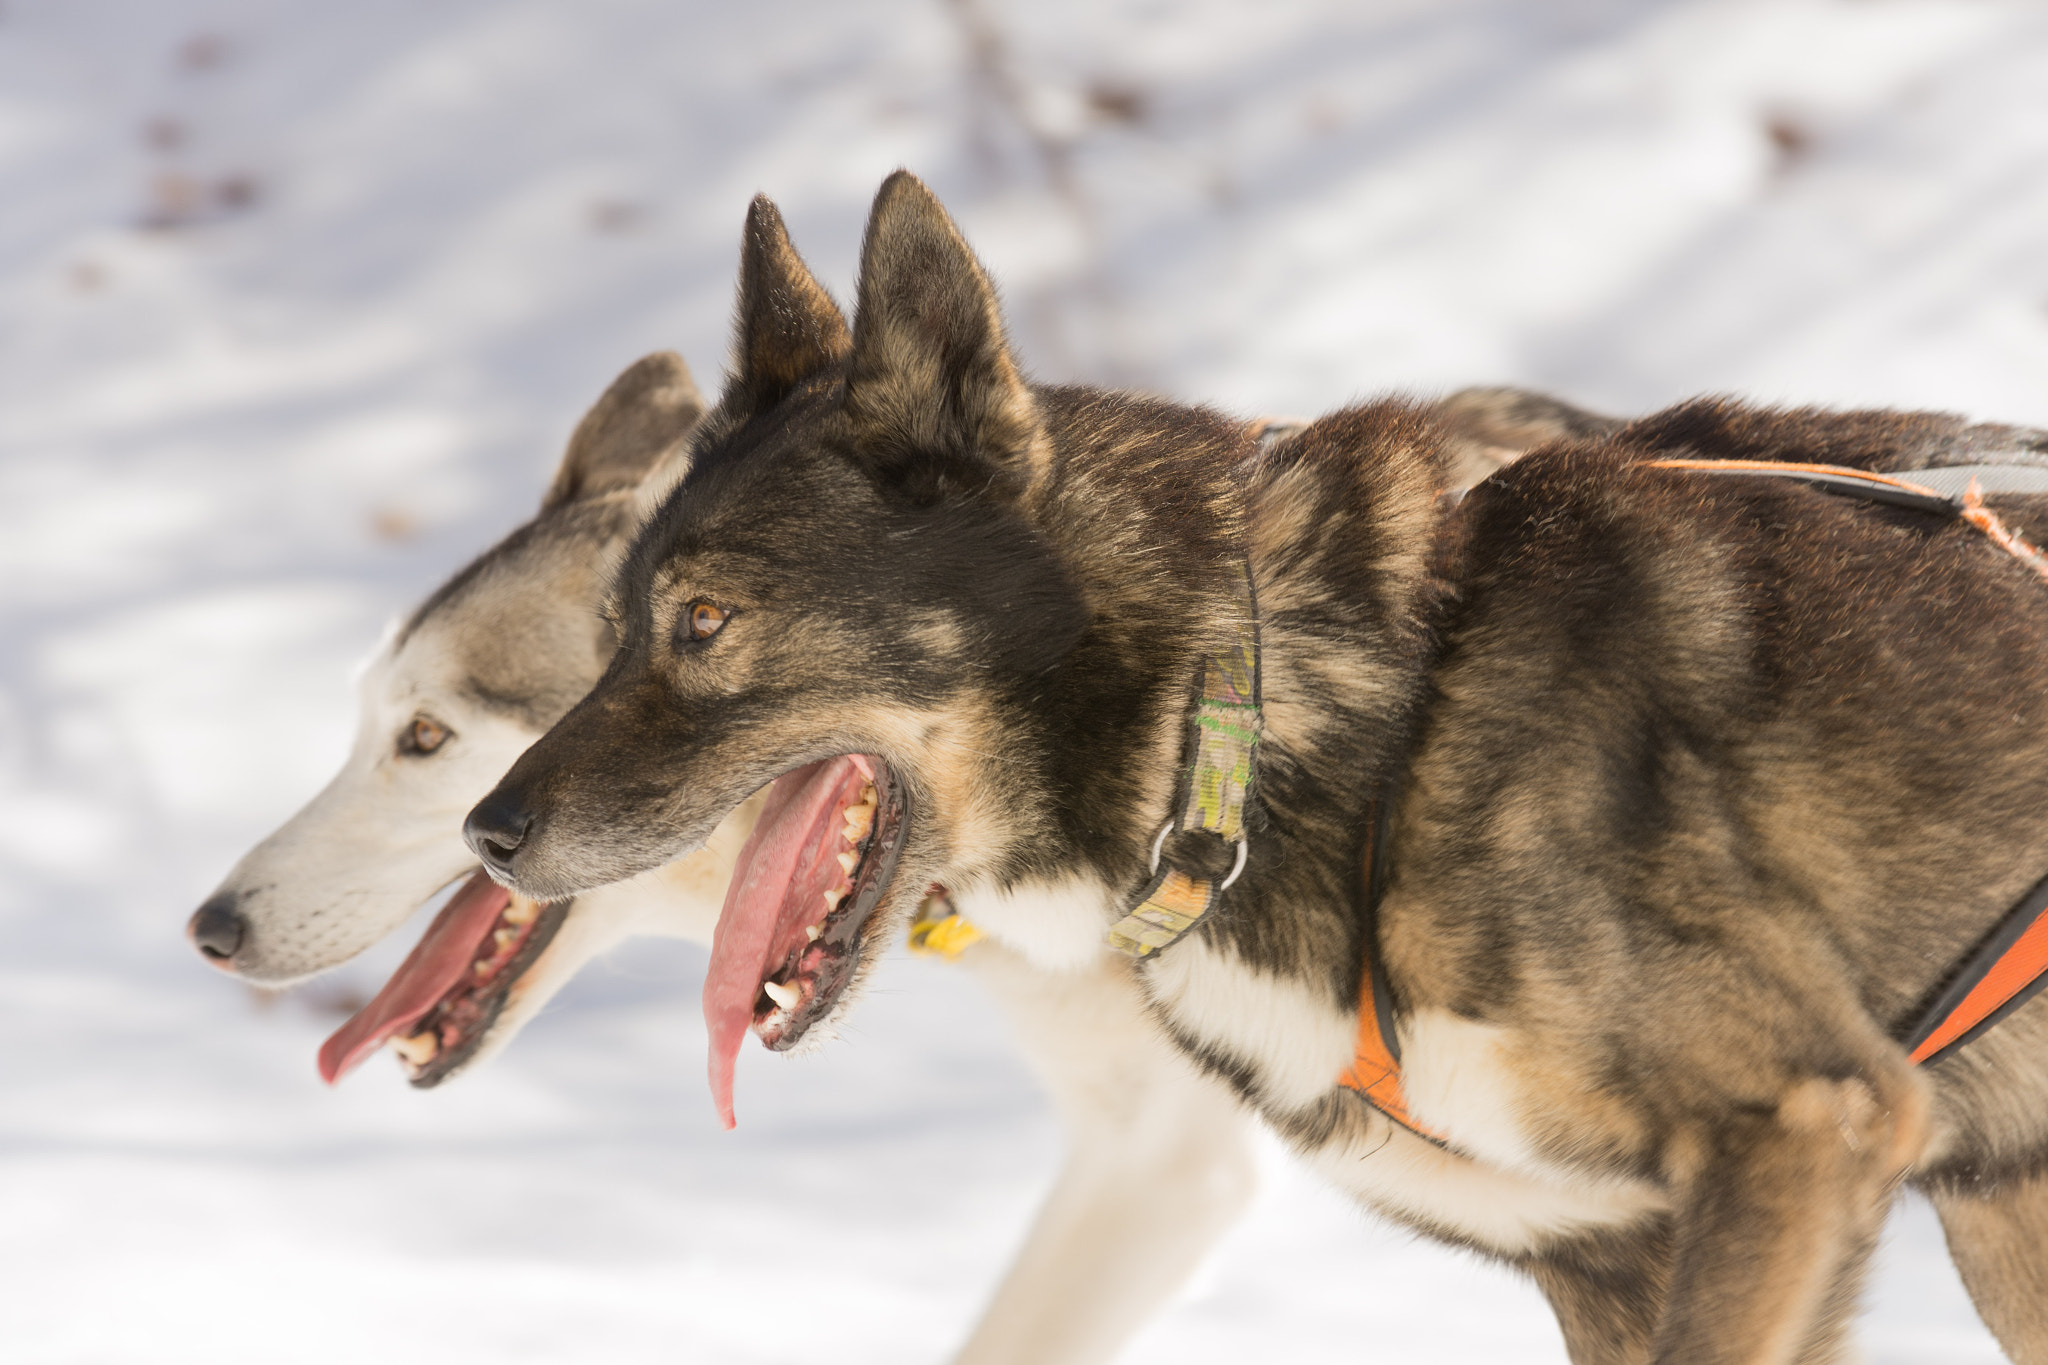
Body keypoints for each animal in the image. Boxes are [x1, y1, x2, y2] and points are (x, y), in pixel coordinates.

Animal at [464, 173, 2048, 1365]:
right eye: (616, 625)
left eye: (703, 622)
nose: (490, 830)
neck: (1256, 730)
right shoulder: (1614, 1255)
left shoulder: (1806, 1127)